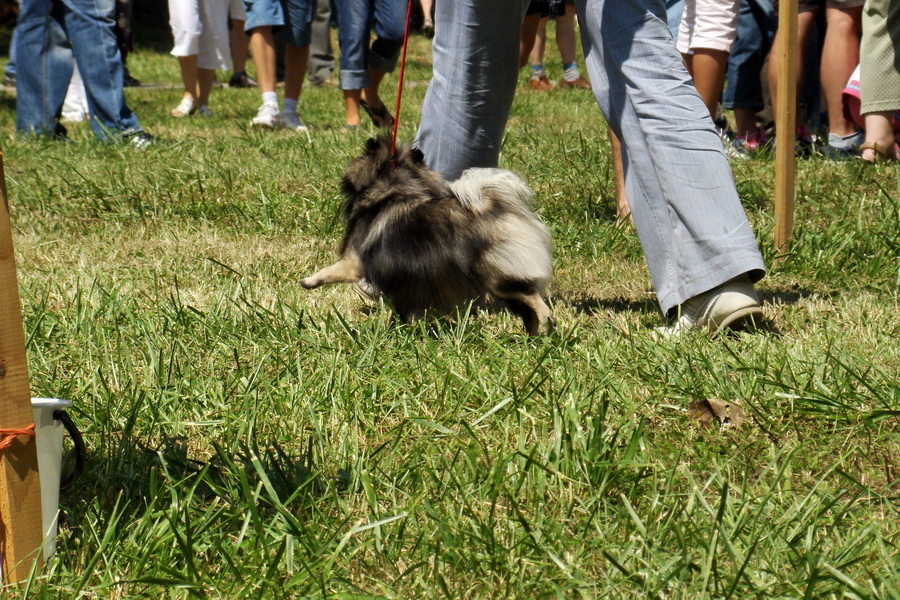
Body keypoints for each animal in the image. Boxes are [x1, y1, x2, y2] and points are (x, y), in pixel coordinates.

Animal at [302, 135, 552, 332]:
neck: (394, 189)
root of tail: (496, 205)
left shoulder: (354, 262)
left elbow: (329, 270)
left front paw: (308, 281)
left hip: (499, 277)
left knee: (533, 298)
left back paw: (547, 323)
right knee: (527, 309)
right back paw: (533, 335)